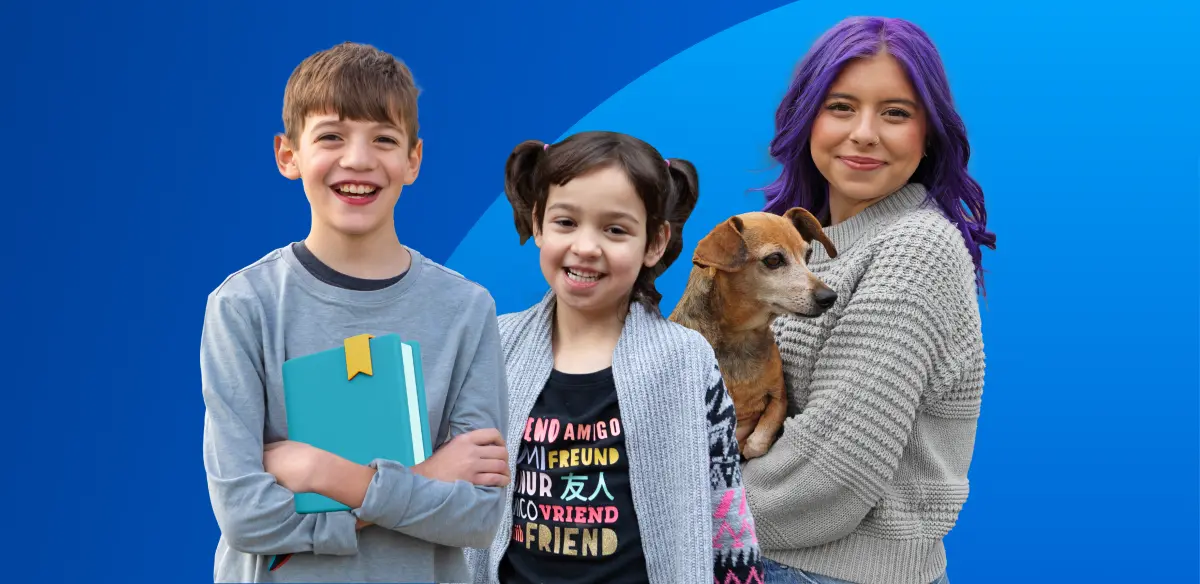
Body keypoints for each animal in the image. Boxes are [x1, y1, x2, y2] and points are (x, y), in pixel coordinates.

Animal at [672, 207, 840, 460]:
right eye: (774, 260)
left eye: (808, 255)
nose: (829, 297)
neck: (742, 337)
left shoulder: (779, 397)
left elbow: (758, 440)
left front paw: (750, 446)